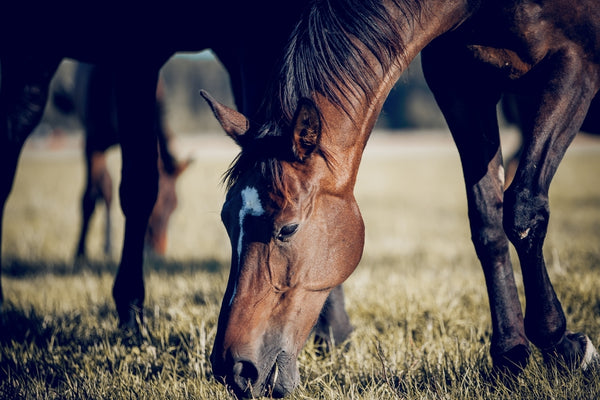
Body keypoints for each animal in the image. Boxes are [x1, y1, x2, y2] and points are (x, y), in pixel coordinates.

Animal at [203, 0, 600, 396]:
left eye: (287, 229)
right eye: (225, 219)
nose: (232, 368)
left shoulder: (576, 65)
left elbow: (522, 209)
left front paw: (563, 344)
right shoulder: (461, 84)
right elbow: (488, 222)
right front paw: (510, 356)